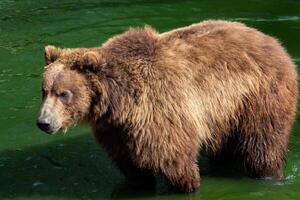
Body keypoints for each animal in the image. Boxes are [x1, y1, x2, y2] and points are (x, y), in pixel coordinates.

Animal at [37, 19, 298, 192]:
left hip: (259, 97)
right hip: (226, 113)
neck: (119, 102)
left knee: (263, 145)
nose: (43, 122)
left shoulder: (161, 112)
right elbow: (131, 166)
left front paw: (187, 185)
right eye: (44, 90)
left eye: (64, 94)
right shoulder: (117, 130)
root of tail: (273, 41)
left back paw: (269, 175)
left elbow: (175, 162)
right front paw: (138, 182)